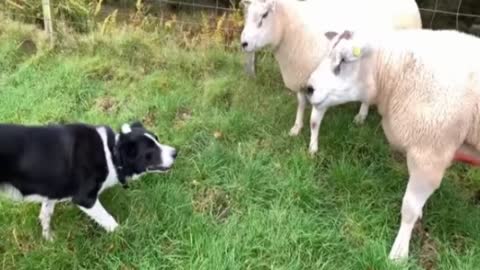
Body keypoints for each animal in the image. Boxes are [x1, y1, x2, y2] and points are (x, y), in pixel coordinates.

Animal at [0, 121, 176, 239]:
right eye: (150, 151)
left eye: (157, 139)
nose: (176, 152)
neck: (111, 153)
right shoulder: (85, 199)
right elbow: (109, 221)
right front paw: (125, 235)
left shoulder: (53, 189)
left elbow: (45, 213)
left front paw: (48, 238)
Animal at [239, 0, 420, 154]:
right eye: (247, 14)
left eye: (264, 15)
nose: (243, 44)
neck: (294, 31)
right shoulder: (302, 80)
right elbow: (300, 105)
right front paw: (296, 128)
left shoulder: (322, 89)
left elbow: (314, 121)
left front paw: (312, 148)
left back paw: (361, 116)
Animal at [306, 28, 480, 262]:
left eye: (343, 60)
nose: (308, 88)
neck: (395, 73)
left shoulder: (429, 154)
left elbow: (409, 207)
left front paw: (399, 252)